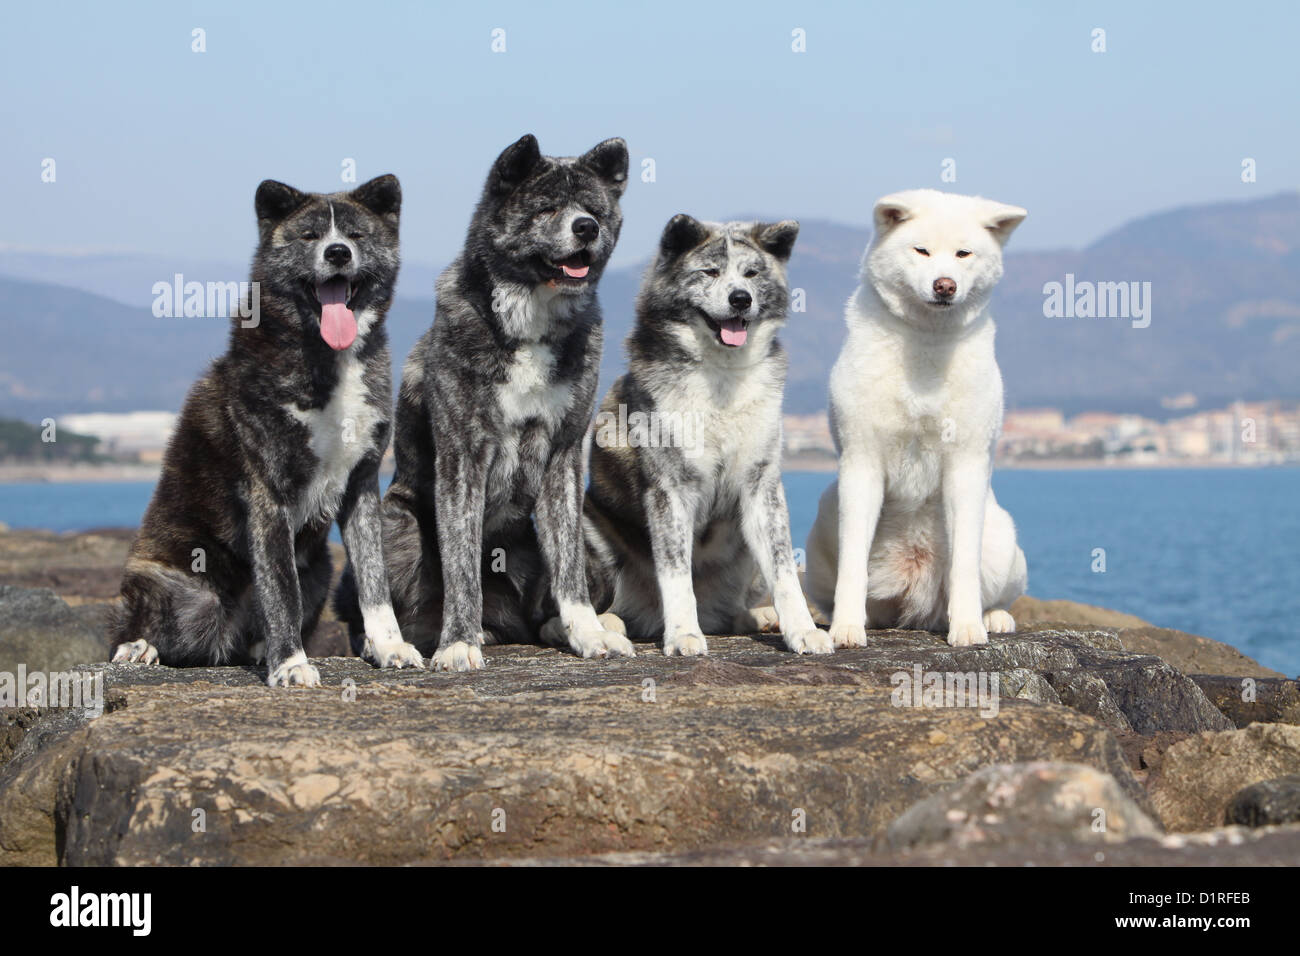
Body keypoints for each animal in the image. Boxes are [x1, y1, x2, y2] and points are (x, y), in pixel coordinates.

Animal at [109, 174, 421, 686]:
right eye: (310, 236)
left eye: (355, 235)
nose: (338, 253)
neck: (326, 357)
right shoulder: (269, 493)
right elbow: (280, 589)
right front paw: (292, 665)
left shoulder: (361, 486)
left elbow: (374, 582)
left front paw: (390, 646)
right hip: (179, 589)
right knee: (140, 628)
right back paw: (139, 648)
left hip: (321, 571)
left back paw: (257, 650)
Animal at [335, 132, 634, 671]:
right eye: (546, 207)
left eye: (594, 209)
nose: (586, 227)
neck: (531, 320)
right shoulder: (463, 456)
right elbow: (461, 568)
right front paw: (458, 643)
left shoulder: (563, 456)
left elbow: (568, 571)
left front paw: (587, 633)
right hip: (394, 525)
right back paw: (397, 641)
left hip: (592, 548)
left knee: (545, 607)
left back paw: (578, 627)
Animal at [800, 189, 1024, 647]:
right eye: (921, 250)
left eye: (963, 253)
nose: (945, 285)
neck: (926, 343)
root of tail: (914, 600)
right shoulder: (862, 461)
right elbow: (853, 562)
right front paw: (847, 627)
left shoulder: (966, 463)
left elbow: (964, 564)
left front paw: (968, 627)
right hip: (828, 511)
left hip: (1002, 540)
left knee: (993, 592)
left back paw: (993, 617)